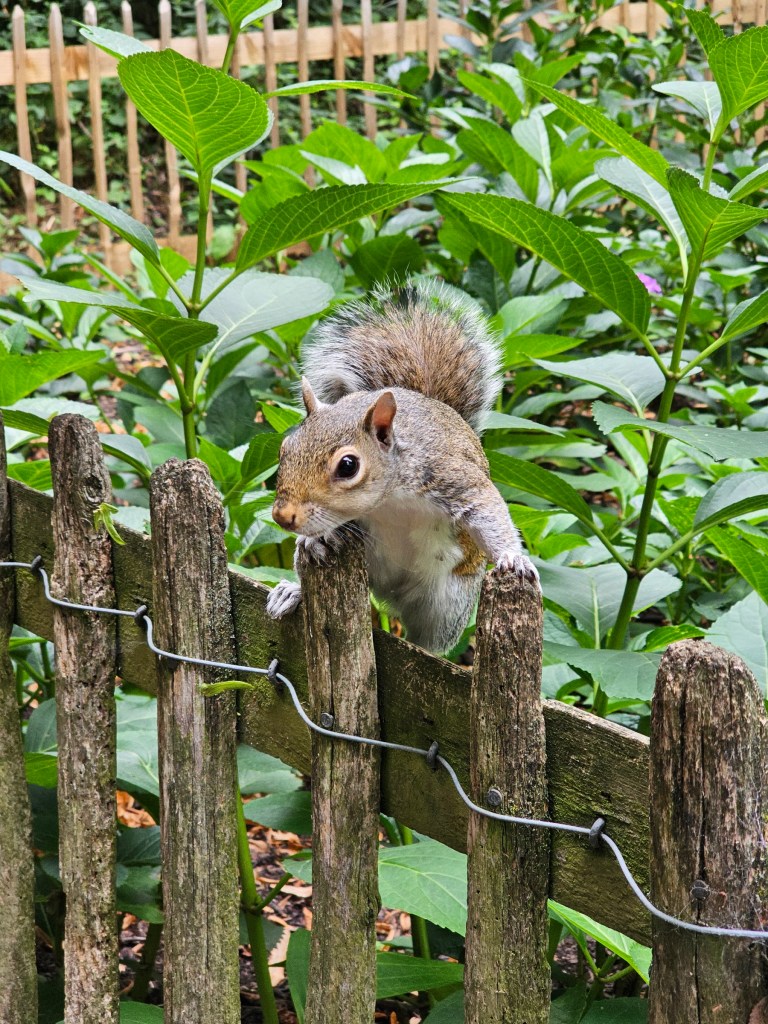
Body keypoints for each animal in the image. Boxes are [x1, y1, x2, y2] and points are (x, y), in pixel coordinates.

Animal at [266, 280, 539, 653]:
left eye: (348, 466)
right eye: (285, 448)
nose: (283, 516)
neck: (390, 499)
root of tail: (391, 599)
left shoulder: (450, 476)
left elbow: (487, 510)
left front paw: (515, 558)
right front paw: (317, 539)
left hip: (448, 602)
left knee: (429, 645)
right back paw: (292, 591)